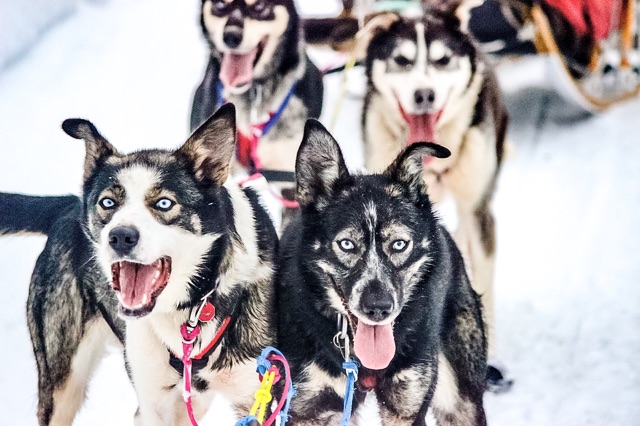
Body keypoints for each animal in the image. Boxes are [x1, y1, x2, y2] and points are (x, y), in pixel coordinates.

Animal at [0, 105, 278, 424]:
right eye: (108, 203)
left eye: (164, 204)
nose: (120, 236)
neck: (193, 308)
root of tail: (69, 208)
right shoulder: (155, 404)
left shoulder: (262, 399)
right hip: (62, 386)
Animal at [278, 120, 488, 426]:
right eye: (347, 244)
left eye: (399, 244)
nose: (378, 308)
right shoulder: (306, 411)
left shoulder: (406, 408)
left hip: (461, 400)